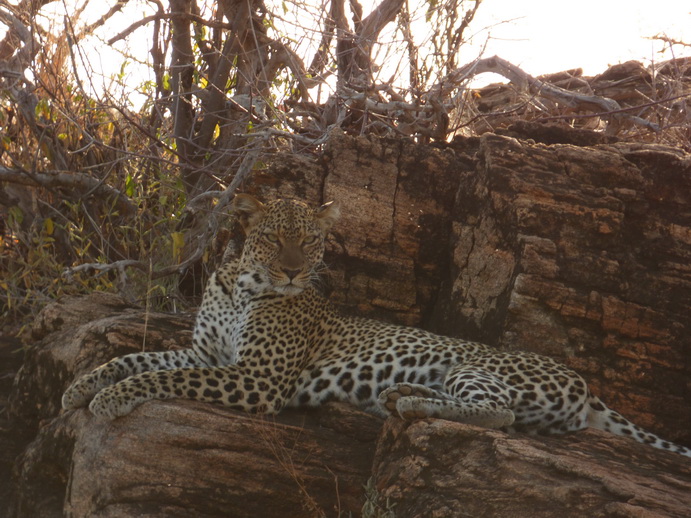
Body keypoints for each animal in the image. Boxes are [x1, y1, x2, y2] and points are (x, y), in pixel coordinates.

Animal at [62, 195, 688, 460]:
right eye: (276, 238)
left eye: (310, 241)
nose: (295, 270)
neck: (240, 285)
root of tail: (585, 384)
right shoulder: (210, 358)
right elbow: (138, 358)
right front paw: (79, 388)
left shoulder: (256, 379)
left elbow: (158, 378)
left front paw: (111, 399)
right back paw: (399, 394)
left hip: (473, 365)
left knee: (501, 412)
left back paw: (407, 403)